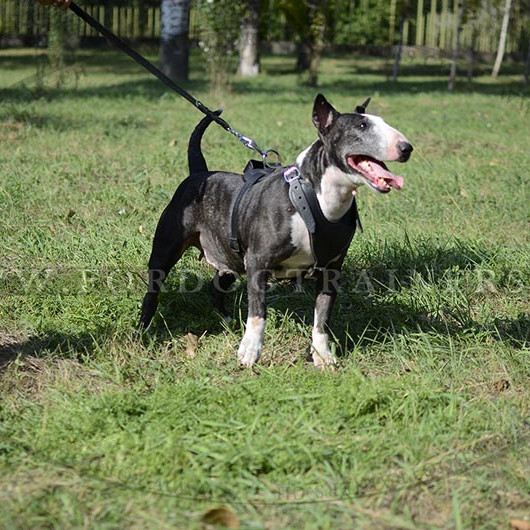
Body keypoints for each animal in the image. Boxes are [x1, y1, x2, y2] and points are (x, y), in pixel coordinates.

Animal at [138, 94, 410, 368]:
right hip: (166, 249)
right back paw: (142, 330)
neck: (314, 199)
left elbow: (322, 318)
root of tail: (200, 173)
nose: (406, 147)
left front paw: (323, 356)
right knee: (154, 290)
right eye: (362, 126)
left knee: (216, 286)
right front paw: (250, 350)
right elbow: (258, 312)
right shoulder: (258, 261)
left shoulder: (330, 271)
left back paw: (227, 321)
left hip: (231, 256)